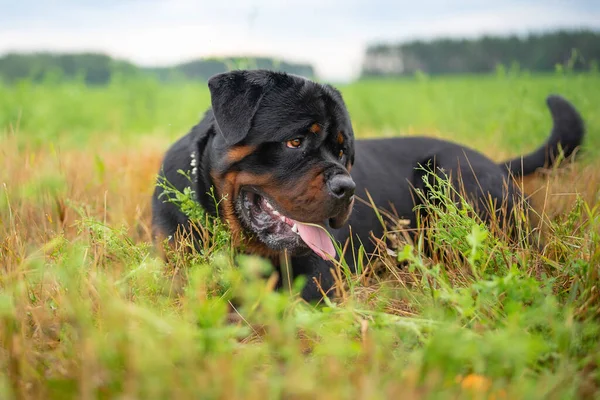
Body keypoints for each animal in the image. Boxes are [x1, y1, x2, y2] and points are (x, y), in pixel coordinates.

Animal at [151, 69, 584, 302]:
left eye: (343, 152)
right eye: (295, 141)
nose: (347, 187)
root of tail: (497, 164)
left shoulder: (321, 280)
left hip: (453, 176)